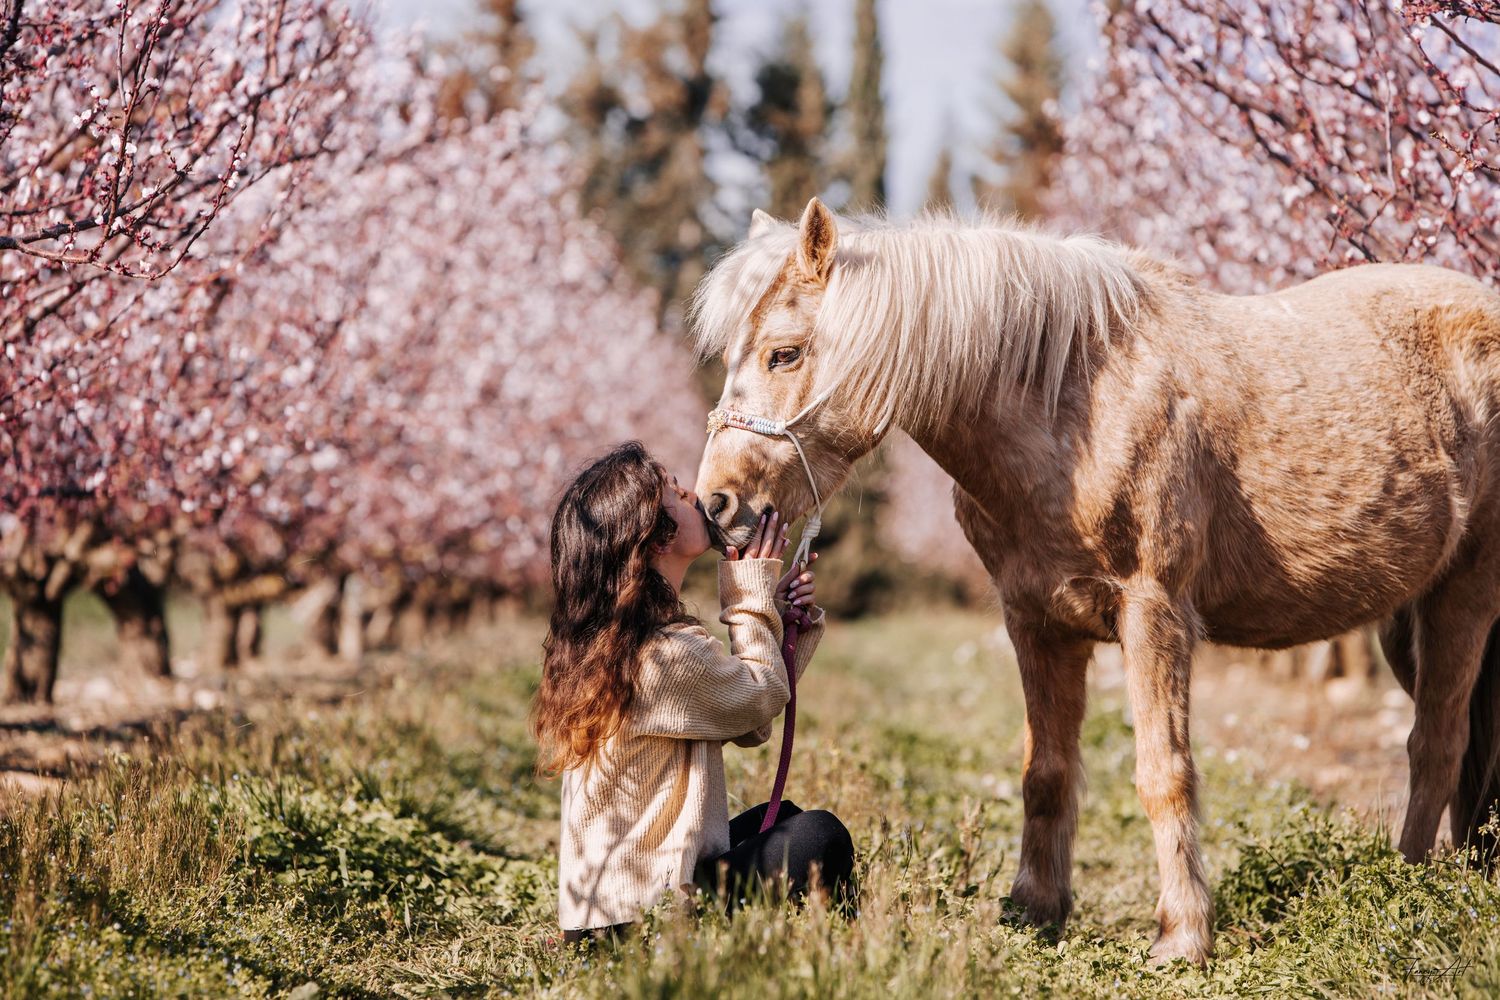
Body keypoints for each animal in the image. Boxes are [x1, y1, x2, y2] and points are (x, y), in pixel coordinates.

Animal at [691, 197, 1500, 965]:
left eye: (785, 352)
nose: (716, 504)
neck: (1077, 408)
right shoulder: (1037, 622)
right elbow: (1045, 771)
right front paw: (1034, 908)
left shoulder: (1155, 615)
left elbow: (1163, 771)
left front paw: (1183, 935)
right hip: (1405, 619)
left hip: (1464, 595)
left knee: (1436, 745)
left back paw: (1406, 882)